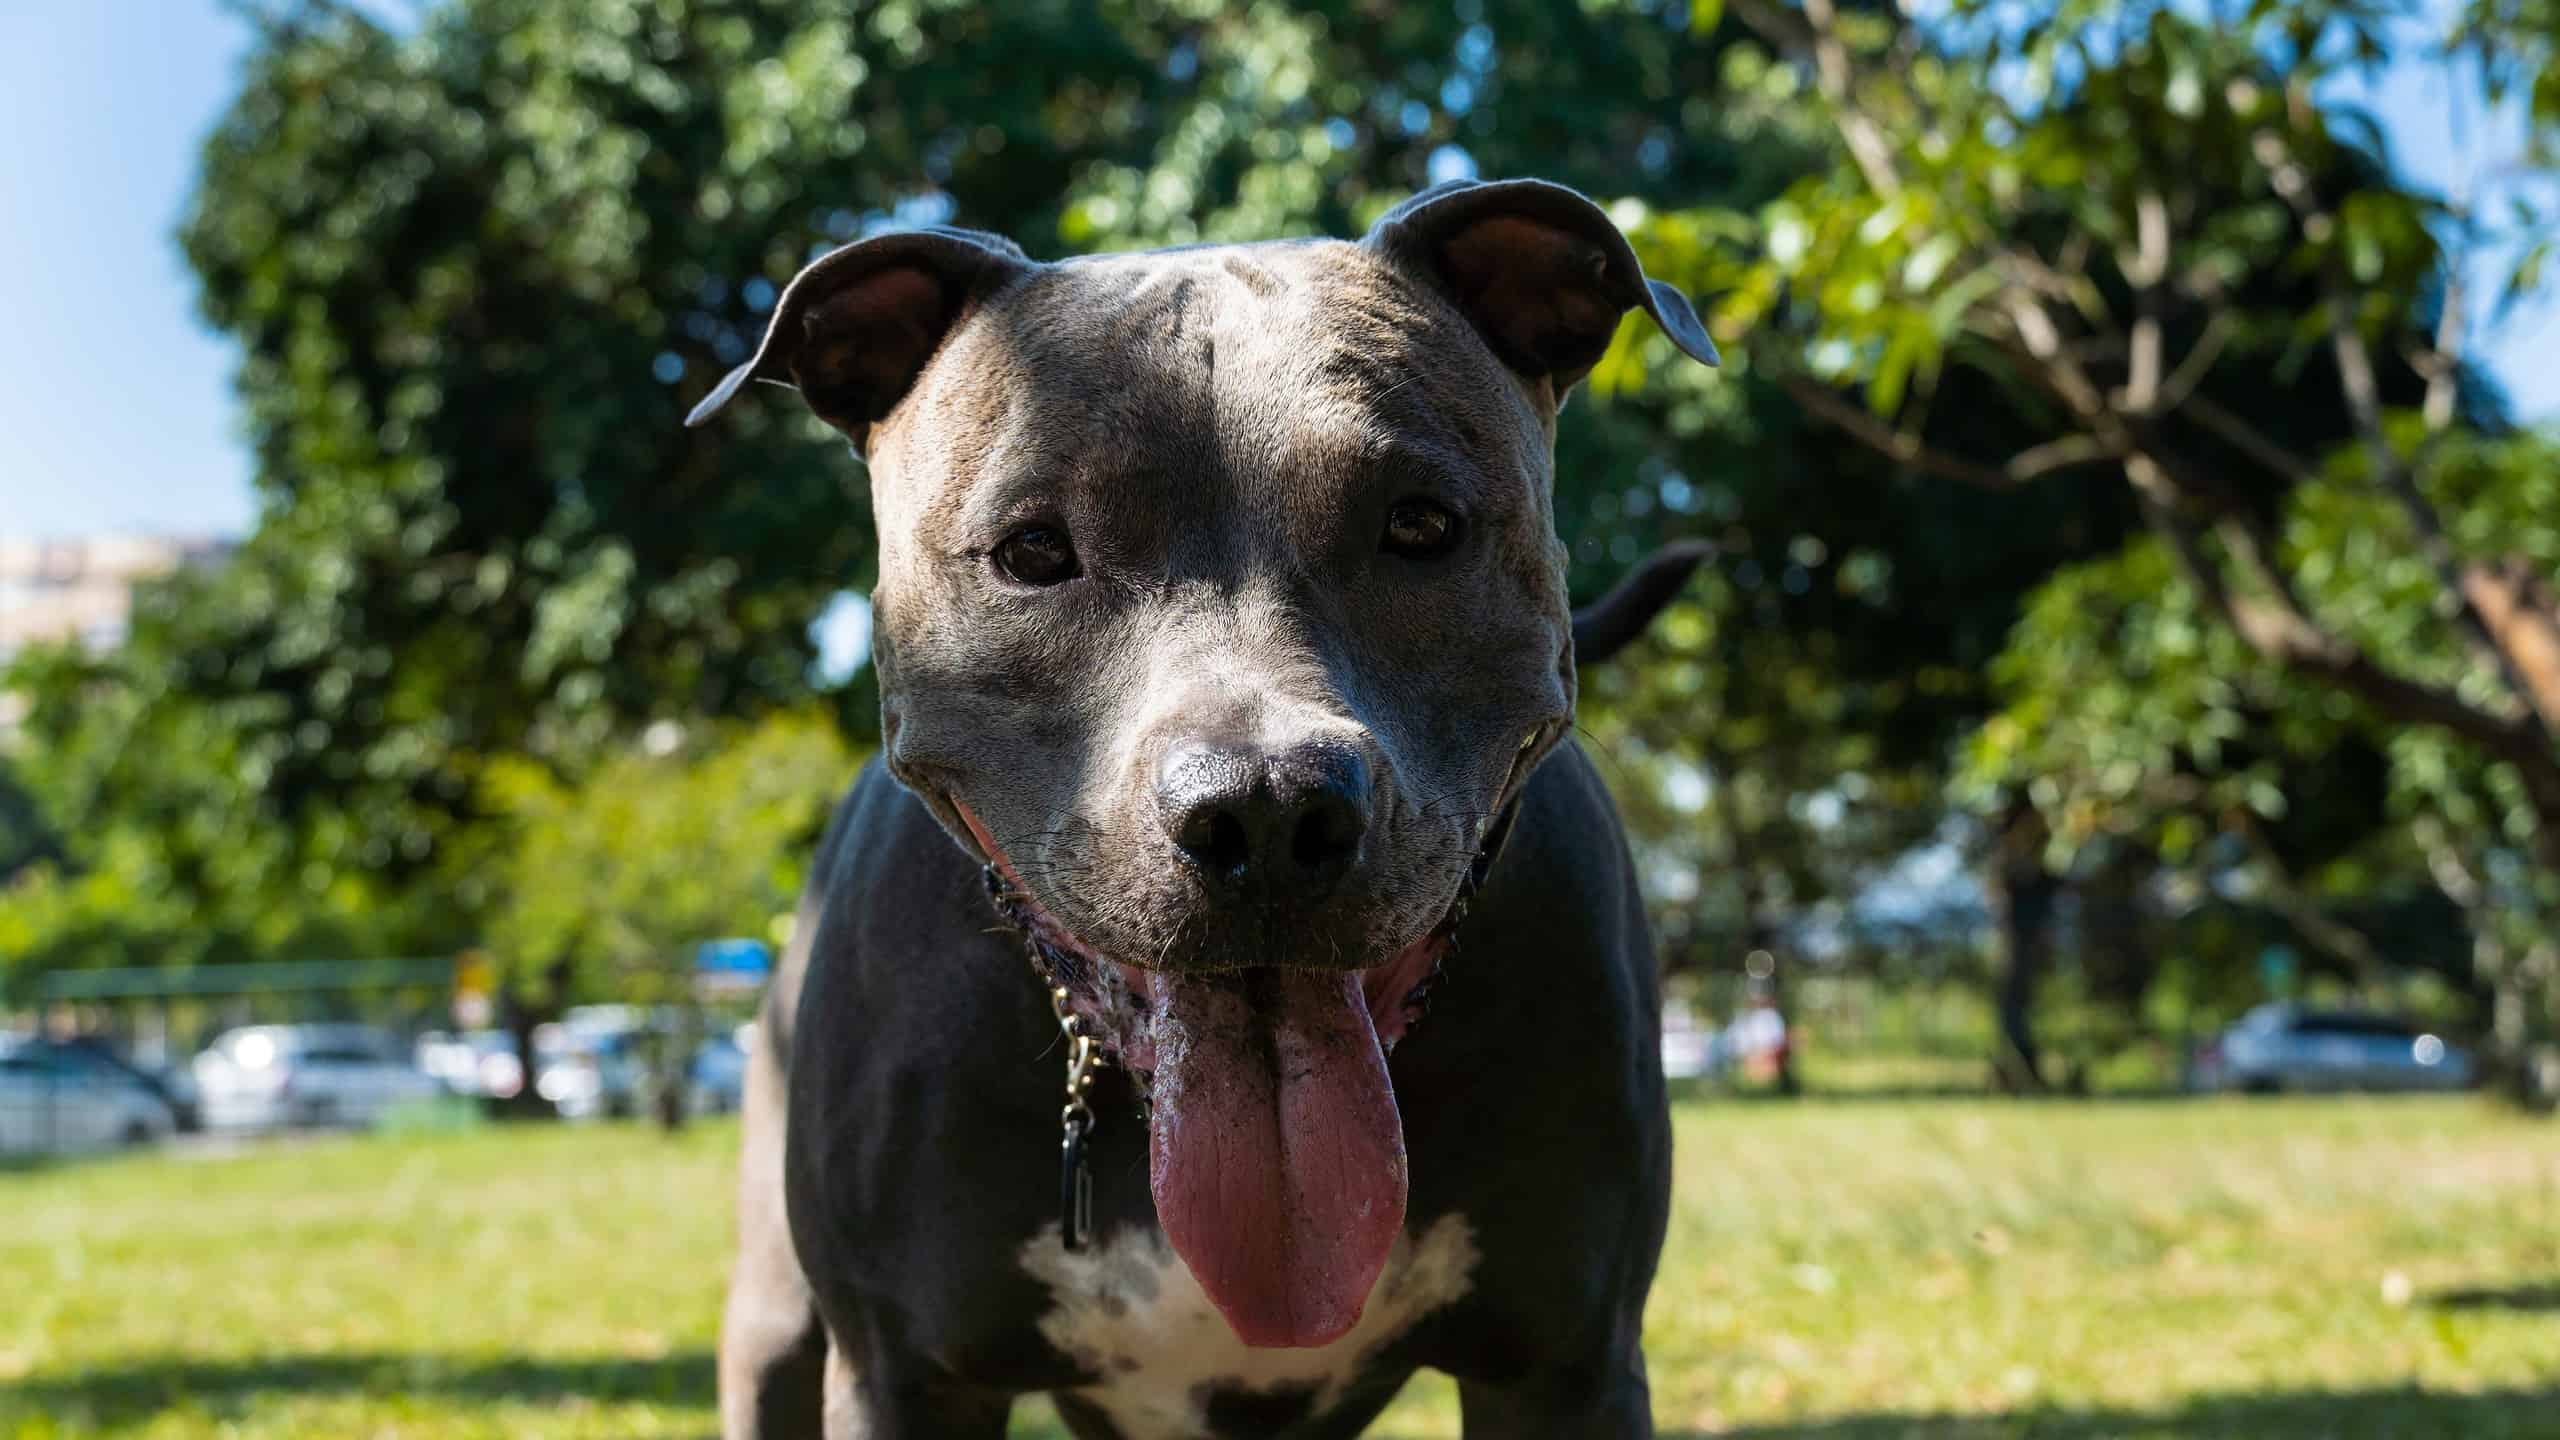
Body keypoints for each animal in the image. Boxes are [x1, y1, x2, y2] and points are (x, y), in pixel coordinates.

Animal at [691, 174, 1710, 1424]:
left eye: (1421, 524)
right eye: (1034, 550)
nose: (1266, 813)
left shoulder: (1565, 1365)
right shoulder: (901, 1376)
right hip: (775, 1329)